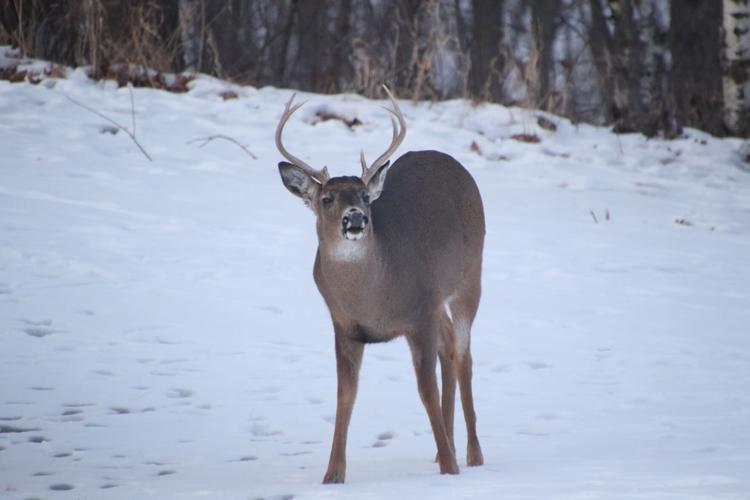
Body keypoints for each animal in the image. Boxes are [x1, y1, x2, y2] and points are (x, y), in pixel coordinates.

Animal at [274, 86, 485, 484]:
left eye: (364, 196)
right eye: (327, 199)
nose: (355, 218)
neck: (374, 297)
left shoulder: (419, 314)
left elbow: (426, 391)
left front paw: (451, 471)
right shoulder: (345, 327)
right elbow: (345, 396)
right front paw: (332, 476)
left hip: (469, 277)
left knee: (464, 355)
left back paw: (471, 454)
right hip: (440, 301)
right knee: (450, 346)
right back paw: (443, 448)